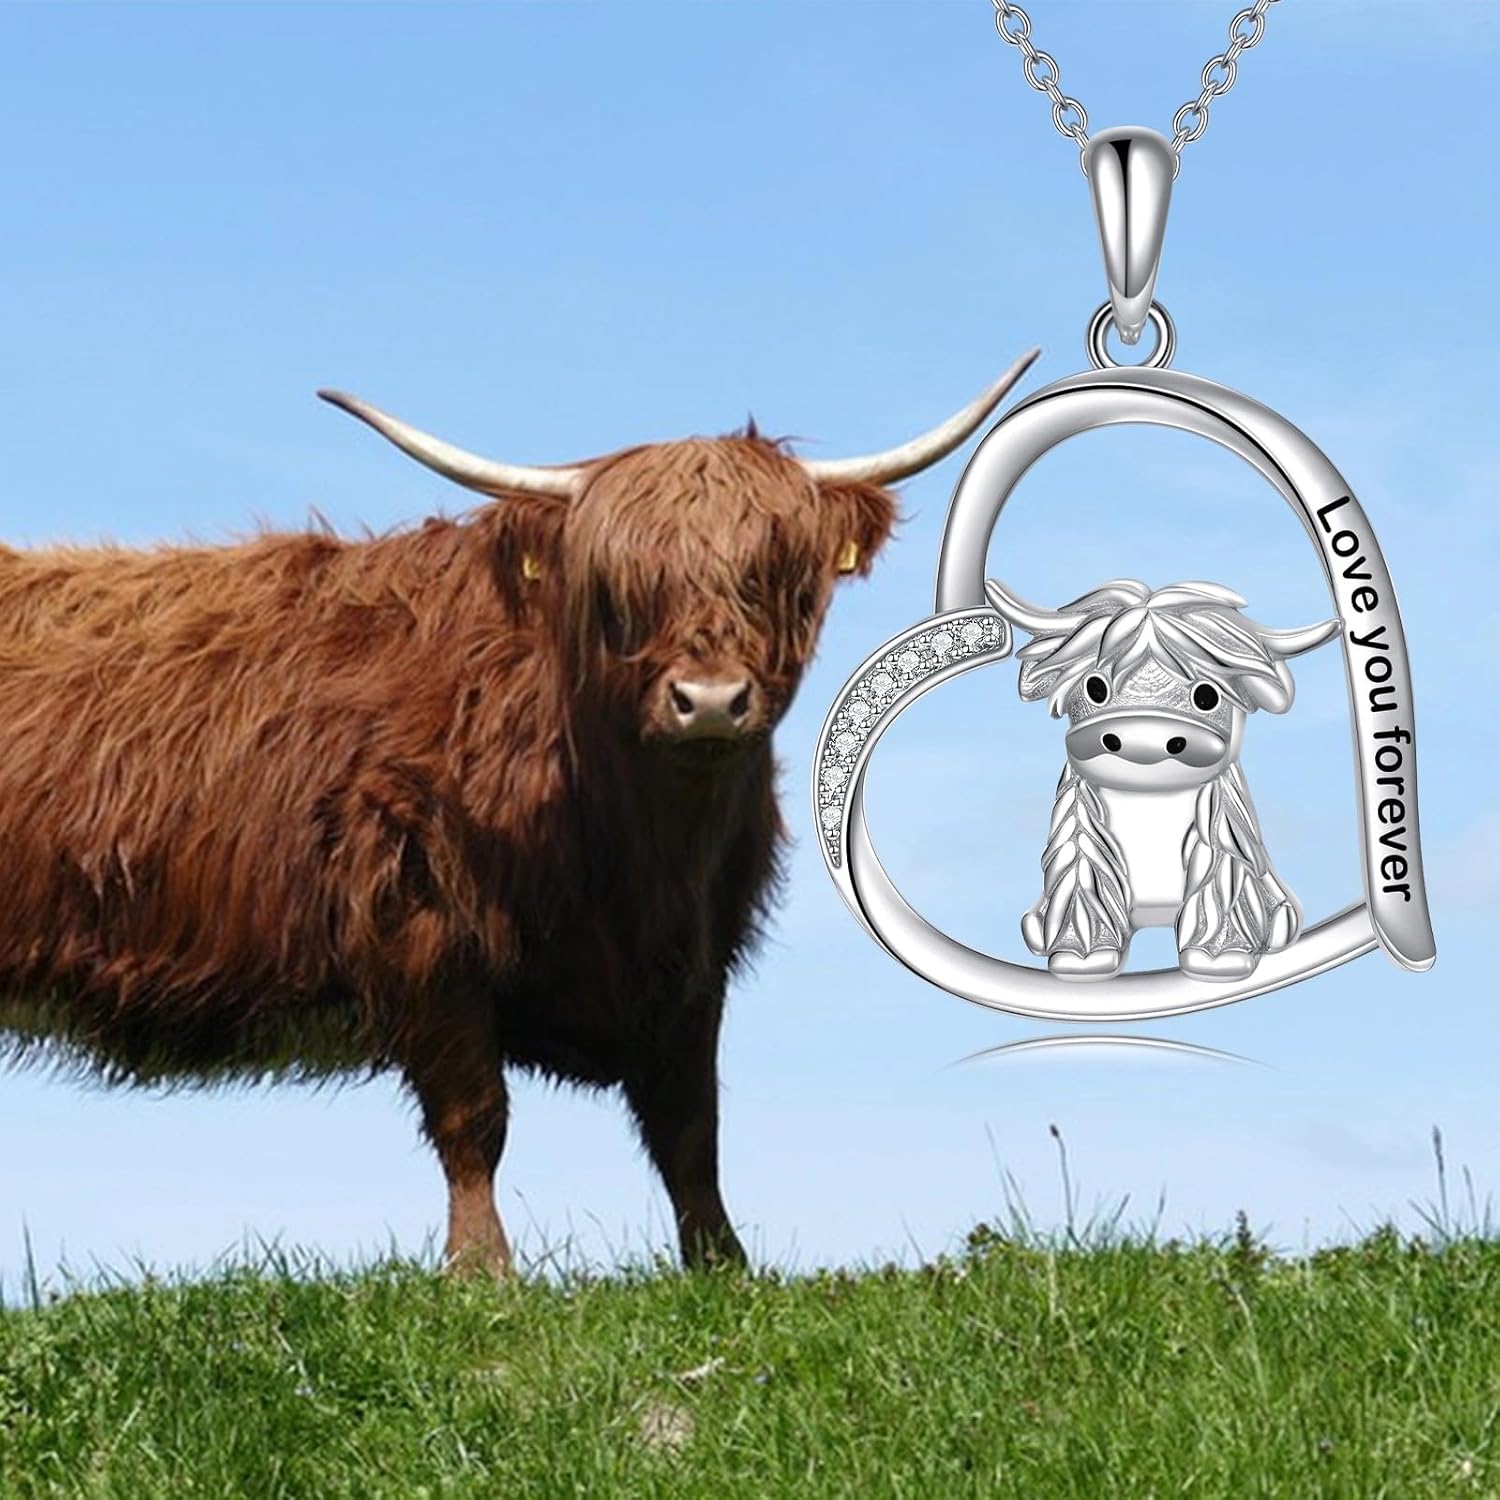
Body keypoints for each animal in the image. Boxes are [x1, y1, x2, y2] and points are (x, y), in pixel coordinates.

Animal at [0, 350, 1036, 1276]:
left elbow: (689, 1125)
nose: (707, 701)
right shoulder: (425, 925)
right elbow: (475, 1120)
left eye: (775, 574)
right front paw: (480, 1271)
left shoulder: (695, 956)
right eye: (619, 589)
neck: (639, 843)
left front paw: (722, 1264)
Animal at [982, 575, 1340, 982]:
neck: (1149, 803)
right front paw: (1082, 957)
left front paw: (1219, 956)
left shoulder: (1220, 845)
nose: (1143, 740)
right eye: (1095, 687)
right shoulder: (1080, 842)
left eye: (1207, 695)